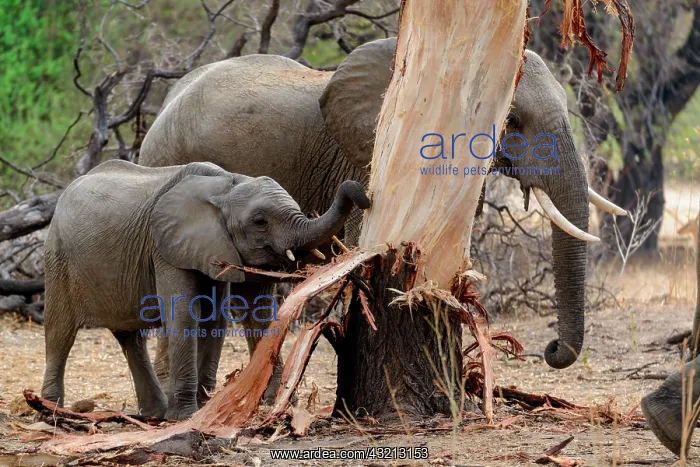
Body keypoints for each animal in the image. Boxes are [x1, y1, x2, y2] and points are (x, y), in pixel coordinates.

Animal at [40, 159, 370, 420]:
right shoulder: (165, 247)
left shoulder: (215, 248)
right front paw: (186, 416)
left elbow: (219, 317)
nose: (364, 195)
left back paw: (154, 413)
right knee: (59, 332)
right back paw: (49, 411)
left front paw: (212, 407)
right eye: (260, 222)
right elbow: (184, 314)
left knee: (129, 337)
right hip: (57, 258)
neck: (224, 185)